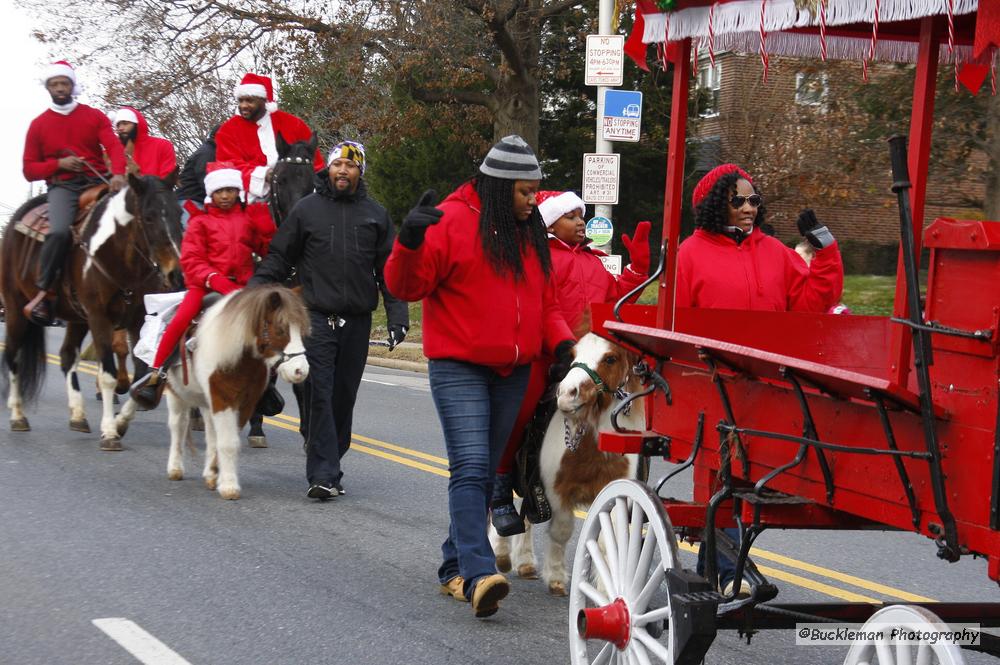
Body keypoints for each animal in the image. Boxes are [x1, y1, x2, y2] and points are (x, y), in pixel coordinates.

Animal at [1, 174, 184, 448]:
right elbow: (108, 374)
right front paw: (109, 431)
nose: (175, 274)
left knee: (67, 355)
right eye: (149, 216)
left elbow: (141, 374)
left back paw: (78, 415)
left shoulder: (138, 319)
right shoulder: (99, 317)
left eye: (178, 212)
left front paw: (121, 422)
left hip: (77, 318)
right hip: (14, 309)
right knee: (12, 355)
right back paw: (18, 416)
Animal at [162, 284, 310, 498]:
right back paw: (175, 468)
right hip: (176, 394)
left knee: (210, 432)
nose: (300, 371)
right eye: (280, 329)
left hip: (206, 401)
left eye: (302, 331)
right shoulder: (222, 399)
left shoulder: (245, 403)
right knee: (178, 426)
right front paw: (229, 486)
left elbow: (227, 440)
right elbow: (227, 443)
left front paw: (215, 475)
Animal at [490, 334, 644, 592]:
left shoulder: (614, 491)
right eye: (574, 355)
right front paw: (555, 577)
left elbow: (608, 542)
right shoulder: (556, 492)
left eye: (610, 358)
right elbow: (561, 530)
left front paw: (606, 591)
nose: (566, 393)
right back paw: (501, 553)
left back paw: (525, 562)